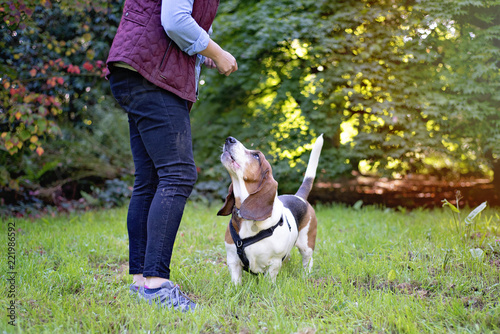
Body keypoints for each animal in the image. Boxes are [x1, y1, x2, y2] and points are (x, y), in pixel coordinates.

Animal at [217, 134, 322, 284]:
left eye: (256, 156)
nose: (229, 139)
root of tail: (298, 196)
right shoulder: (233, 260)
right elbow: (236, 281)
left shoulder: (274, 262)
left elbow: (270, 280)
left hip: (306, 245)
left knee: (308, 260)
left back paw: (305, 276)